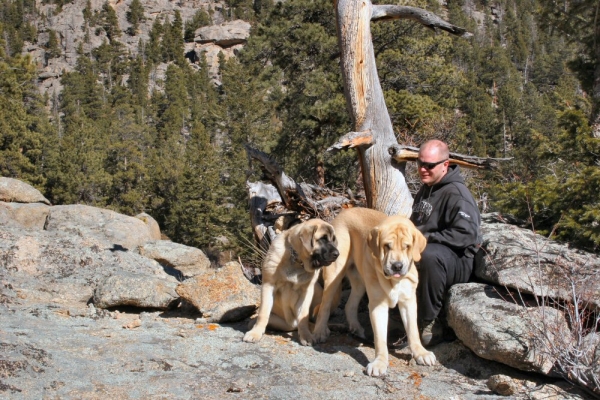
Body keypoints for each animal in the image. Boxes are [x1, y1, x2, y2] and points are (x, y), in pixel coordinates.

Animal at [243, 217, 338, 346]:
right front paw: (255, 333)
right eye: (323, 238)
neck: (297, 260)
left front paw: (306, 336)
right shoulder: (268, 285)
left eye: (333, 240)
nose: (337, 254)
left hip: (318, 290)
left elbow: (303, 316)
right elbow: (263, 312)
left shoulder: (306, 291)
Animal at [310, 206, 436, 376]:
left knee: (350, 305)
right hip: (334, 274)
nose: (397, 266)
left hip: (360, 282)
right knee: (325, 306)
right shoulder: (378, 305)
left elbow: (413, 331)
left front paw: (421, 353)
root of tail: (344, 212)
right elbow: (380, 338)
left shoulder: (408, 302)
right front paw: (380, 363)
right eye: (387, 246)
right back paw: (319, 332)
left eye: (407, 246)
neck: (393, 281)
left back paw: (356, 328)